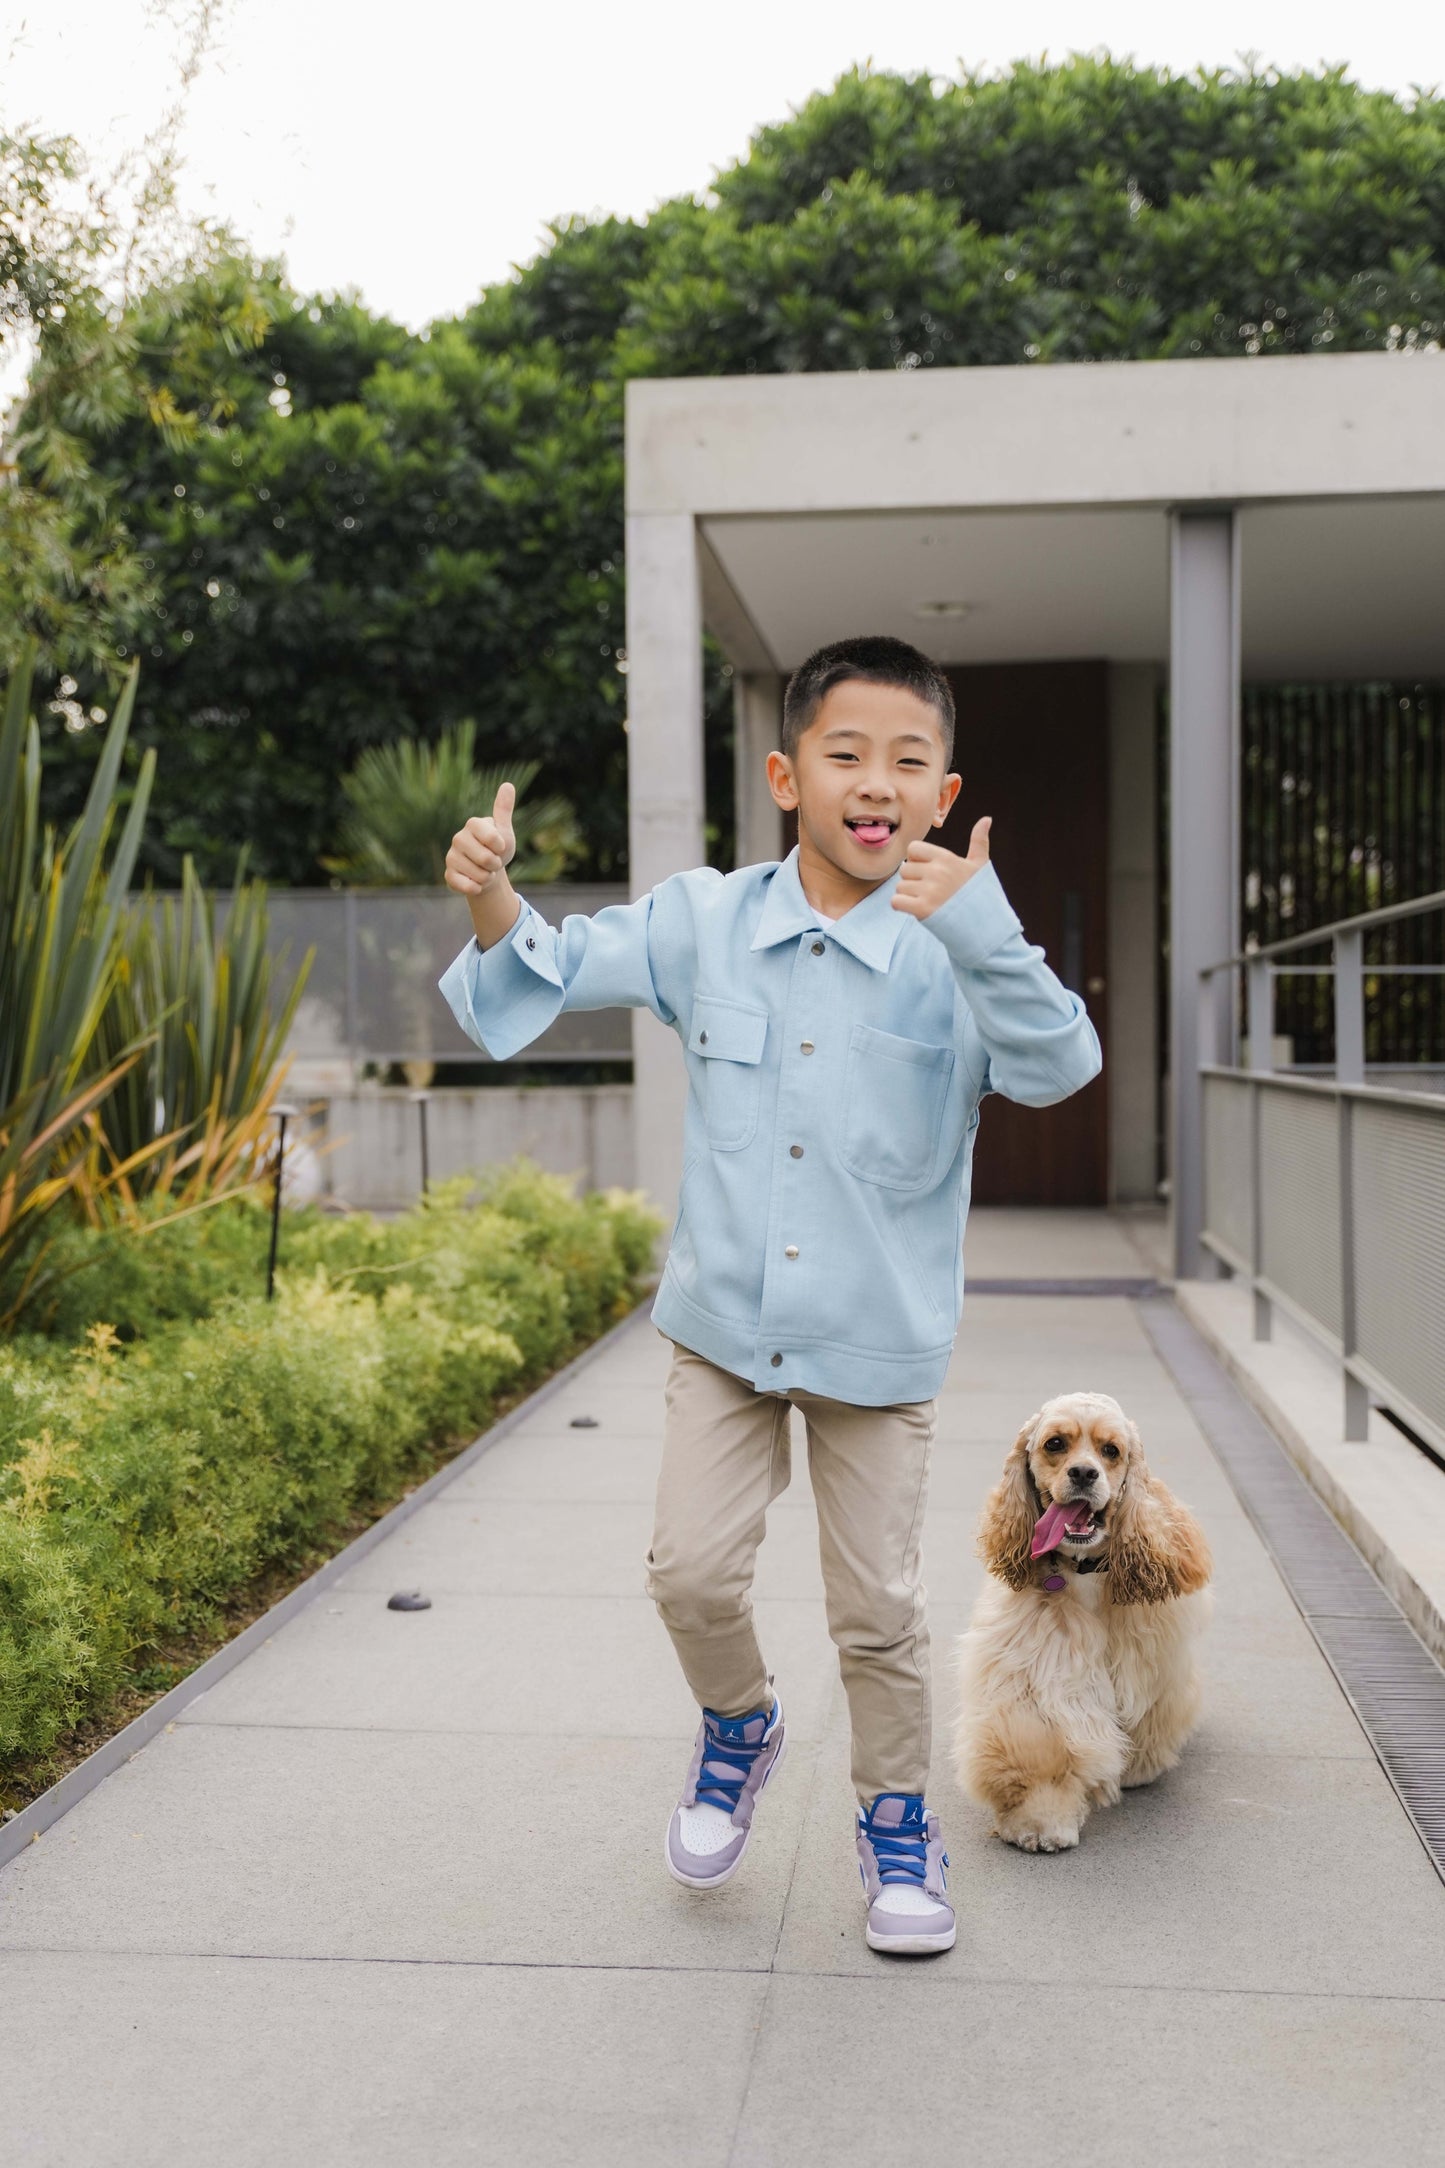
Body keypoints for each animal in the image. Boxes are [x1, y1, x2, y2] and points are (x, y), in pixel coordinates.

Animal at [953, 1387, 1213, 1847]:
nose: (1084, 1474)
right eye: (1055, 1443)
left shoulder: (1152, 1652)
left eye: (1111, 1450)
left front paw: (1138, 1767)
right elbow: (1044, 1742)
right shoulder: (1038, 1661)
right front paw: (1038, 1820)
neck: (1084, 1569)